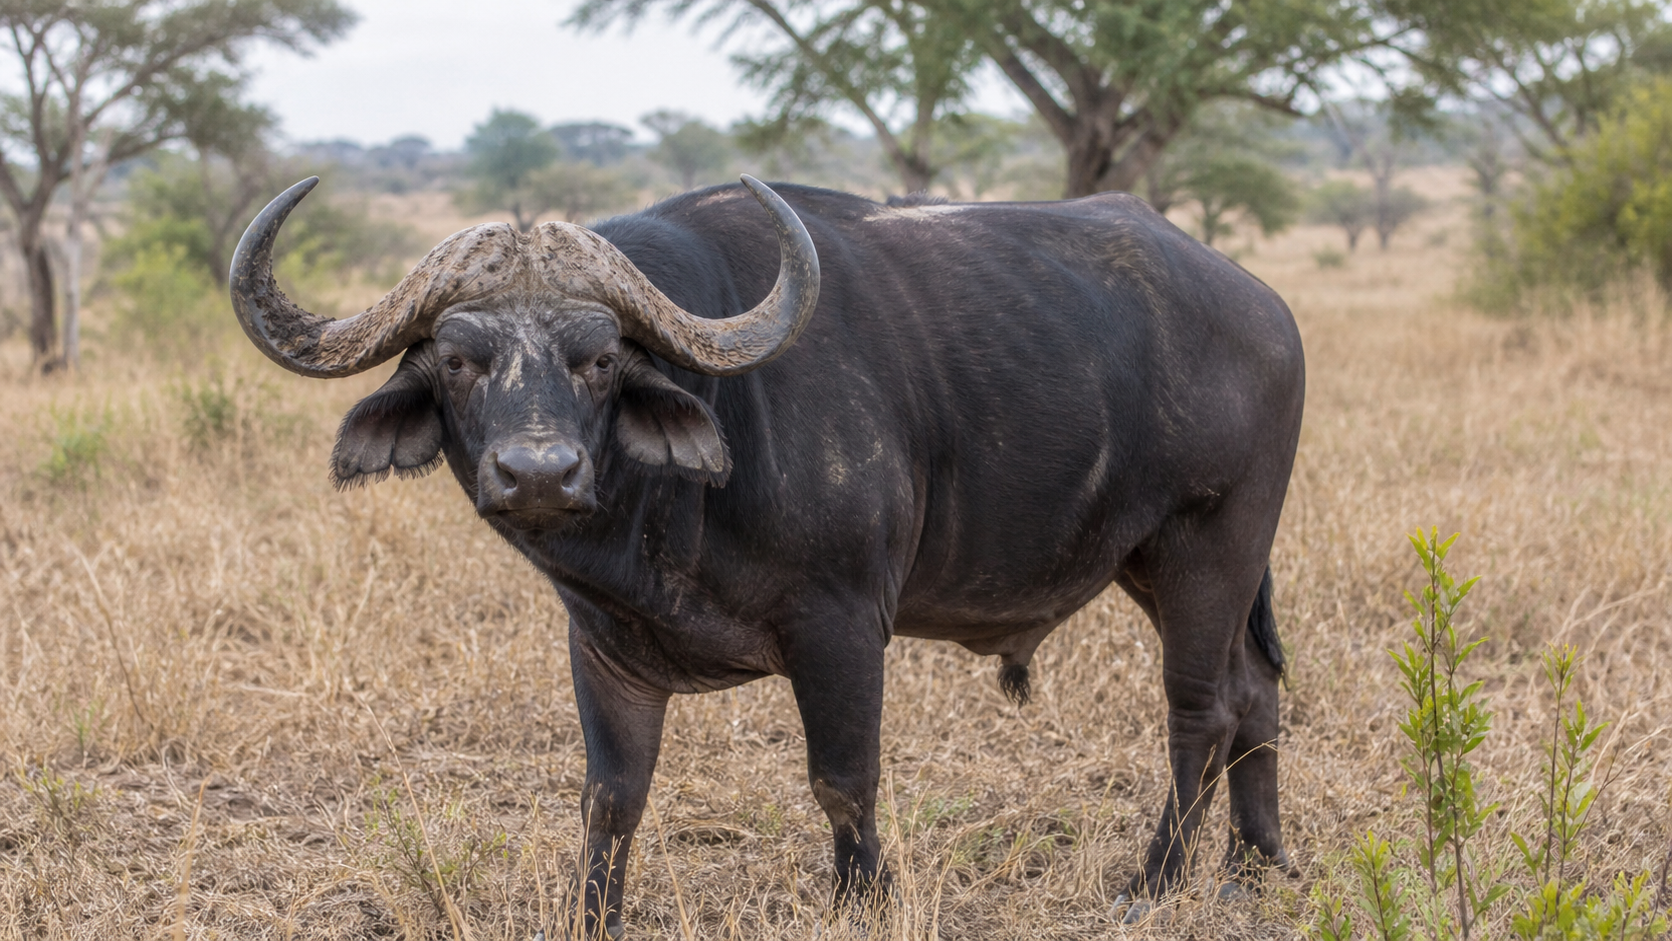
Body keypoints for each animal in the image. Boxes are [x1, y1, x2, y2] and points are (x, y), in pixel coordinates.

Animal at [230, 175, 1304, 936]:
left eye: (600, 357)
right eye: (458, 358)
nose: (538, 472)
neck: (670, 513)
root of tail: (1264, 307)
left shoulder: (843, 628)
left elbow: (843, 778)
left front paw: (862, 901)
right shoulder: (604, 647)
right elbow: (609, 798)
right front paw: (591, 913)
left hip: (1210, 546)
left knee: (1201, 710)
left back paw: (1155, 881)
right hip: (1155, 563)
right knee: (1255, 690)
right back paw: (1256, 866)